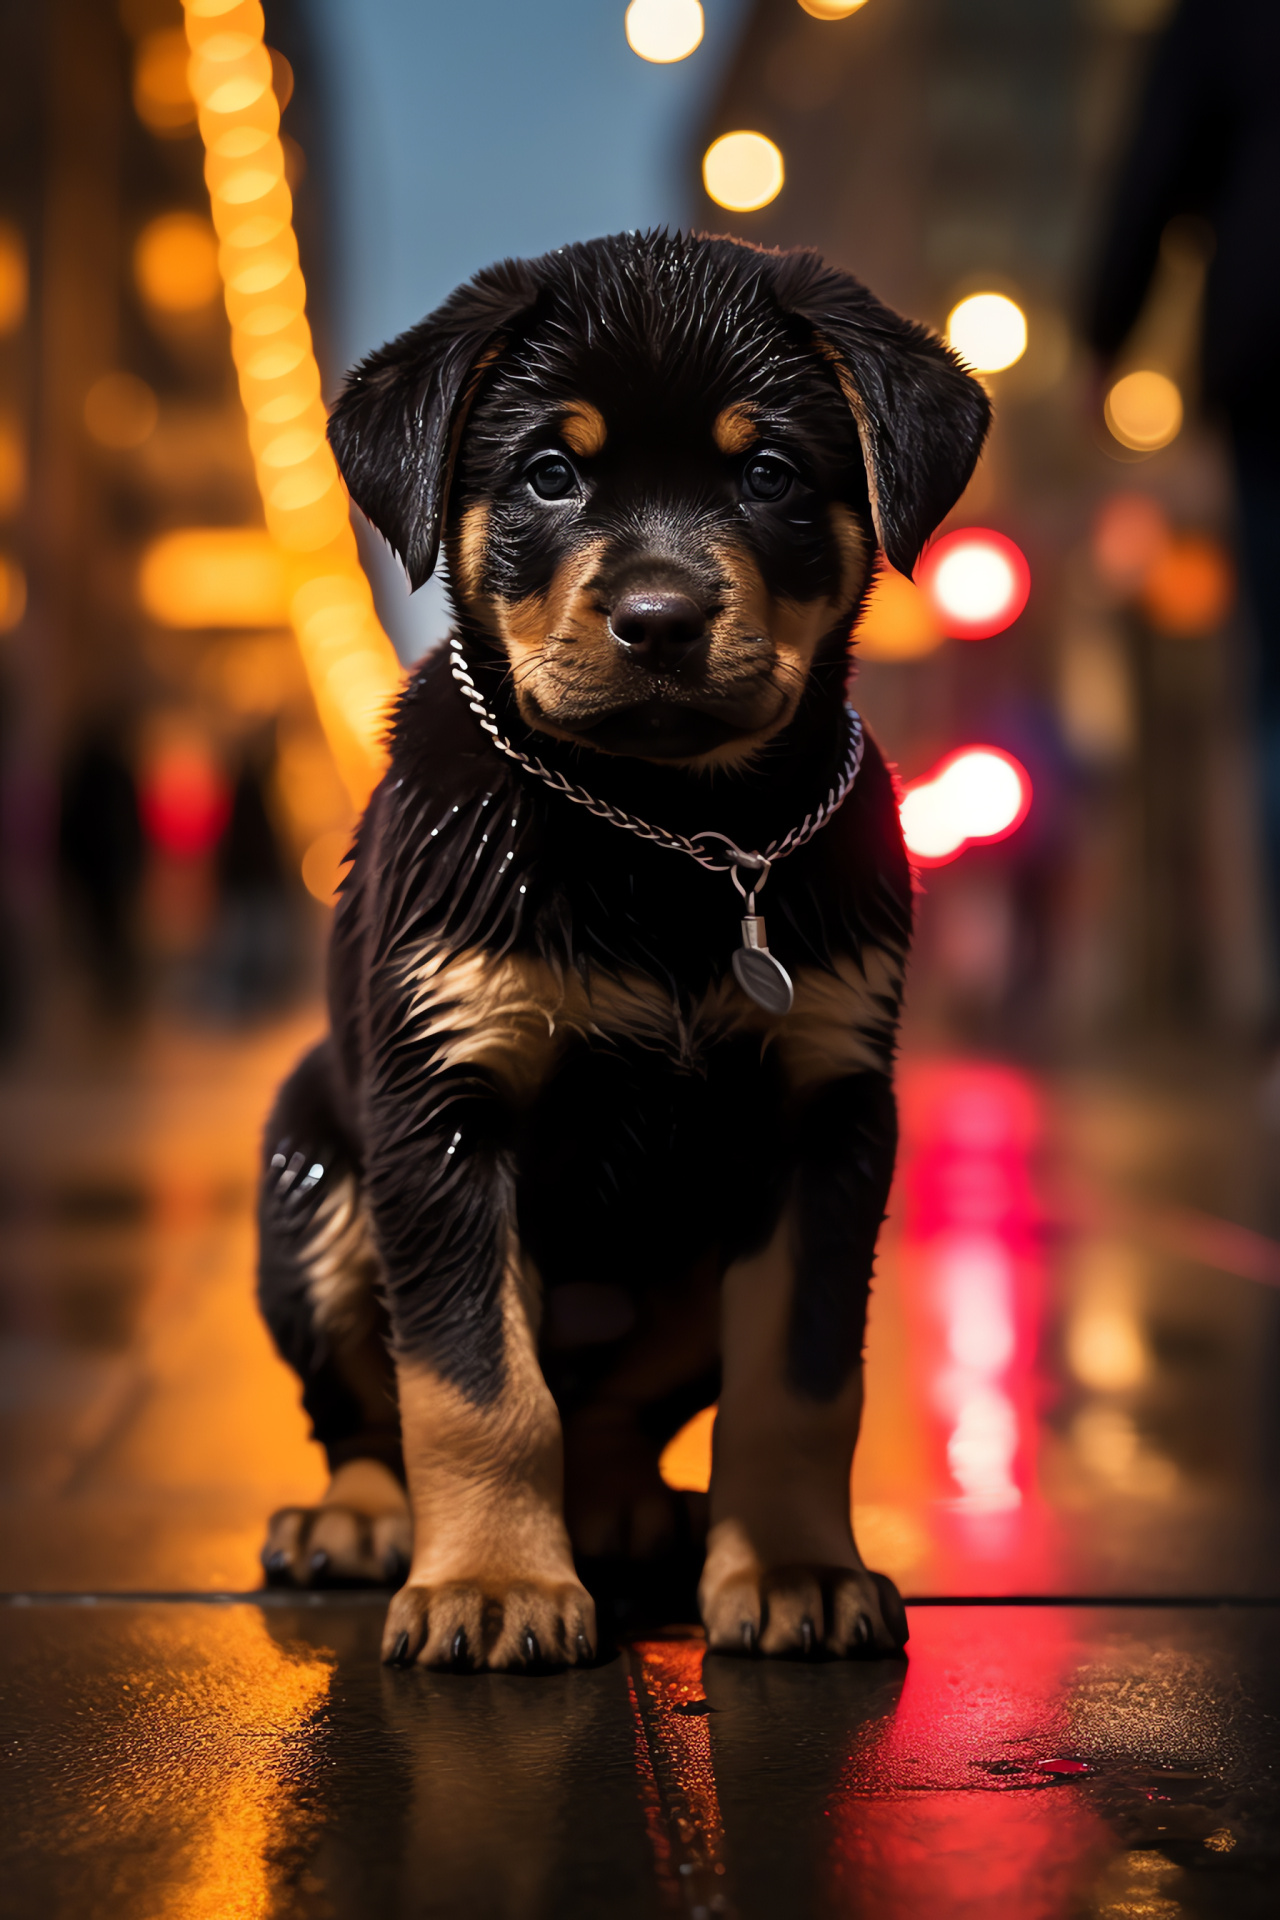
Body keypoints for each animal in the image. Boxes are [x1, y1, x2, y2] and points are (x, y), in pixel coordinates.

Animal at [253, 228, 990, 1666]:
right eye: (551, 471)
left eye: (768, 473)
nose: (658, 617)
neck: (670, 835)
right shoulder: (444, 1107)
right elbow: (473, 1382)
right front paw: (490, 1585)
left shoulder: (827, 1118)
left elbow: (801, 1381)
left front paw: (798, 1569)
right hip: (312, 1183)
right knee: (368, 1406)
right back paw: (360, 1521)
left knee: (612, 1414)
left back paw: (634, 1511)